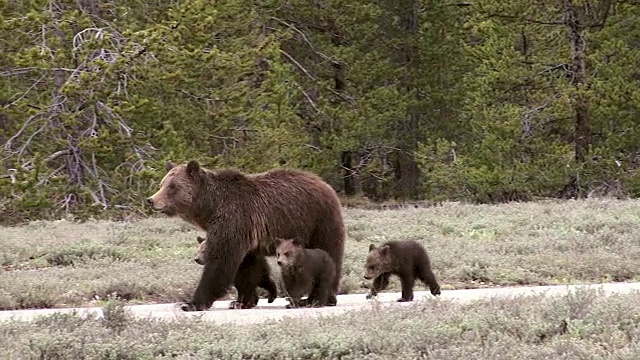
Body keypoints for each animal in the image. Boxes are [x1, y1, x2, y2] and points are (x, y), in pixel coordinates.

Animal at [146, 162, 344, 310]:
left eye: (172, 186)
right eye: (162, 184)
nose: (151, 200)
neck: (210, 208)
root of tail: (324, 183)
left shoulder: (234, 219)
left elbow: (219, 262)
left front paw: (192, 303)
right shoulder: (243, 232)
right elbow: (246, 267)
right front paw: (242, 301)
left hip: (318, 221)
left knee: (329, 253)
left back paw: (319, 298)